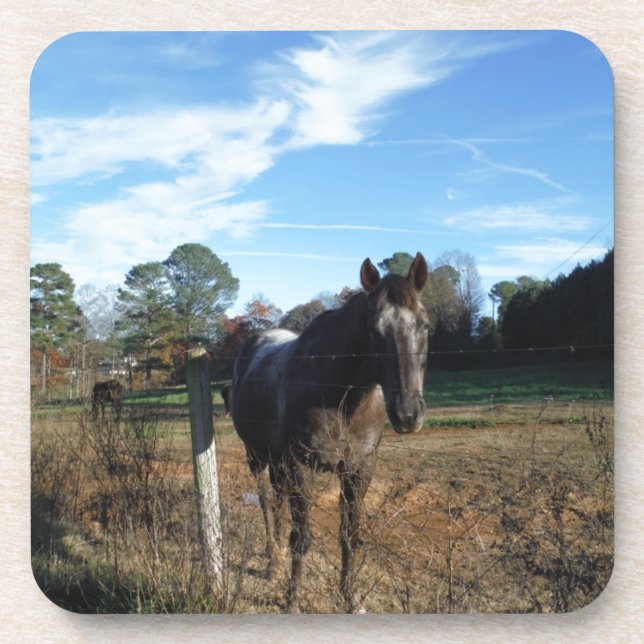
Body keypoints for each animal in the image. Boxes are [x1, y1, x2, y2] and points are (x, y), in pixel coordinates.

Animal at [232, 252, 429, 612]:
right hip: (257, 457)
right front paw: (293, 599)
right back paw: (272, 562)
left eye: (424, 325)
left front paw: (350, 597)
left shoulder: (358, 469)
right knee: (267, 504)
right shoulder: (300, 465)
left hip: (278, 463)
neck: (341, 396)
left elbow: (349, 535)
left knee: (277, 501)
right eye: (372, 329)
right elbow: (302, 536)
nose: (408, 414)